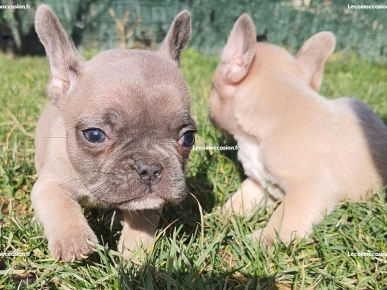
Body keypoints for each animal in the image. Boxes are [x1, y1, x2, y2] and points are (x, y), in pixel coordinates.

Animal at [31, 4, 196, 262]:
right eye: (94, 135)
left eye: (188, 138)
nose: (150, 168)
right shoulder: (49, 184)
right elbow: (60, 205)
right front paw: (74, 240)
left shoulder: (147, 203)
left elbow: (143, 218)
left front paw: (135, 252)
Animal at [211, 14, 387, 245]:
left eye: (212, 88)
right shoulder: (259, 184)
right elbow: (239, 199)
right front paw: (216, 219)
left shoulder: (310, 188)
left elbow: (283, 219)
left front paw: (259, 241)